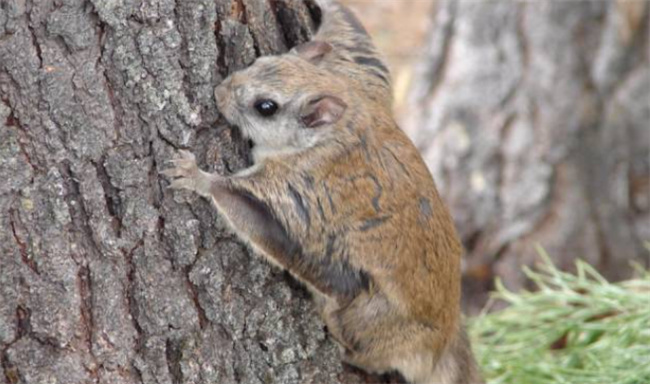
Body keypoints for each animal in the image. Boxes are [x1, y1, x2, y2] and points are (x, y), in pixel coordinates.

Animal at [161, 1, 480, 382]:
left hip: (368, 316)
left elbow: (251, 213)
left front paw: (196, 176)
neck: (337, 128)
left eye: (265, 107)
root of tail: (442, 345)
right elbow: (358, 40)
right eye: (258, 61)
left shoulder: (298, 188)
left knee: (373, 352)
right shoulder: (362, 77)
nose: (220, 92)